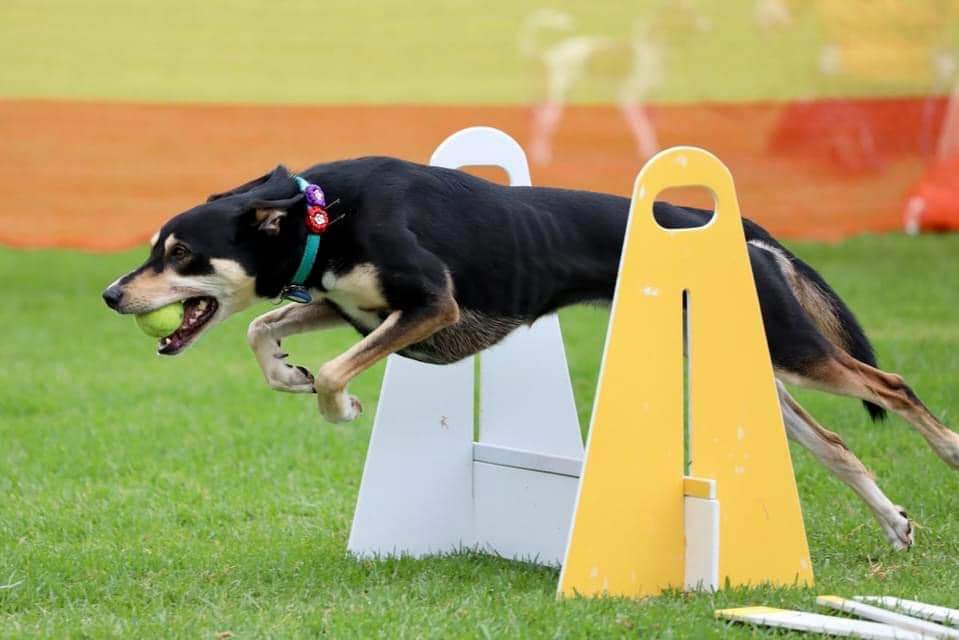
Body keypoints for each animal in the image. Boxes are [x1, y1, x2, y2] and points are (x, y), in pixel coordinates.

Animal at [103, 159, 959, 552]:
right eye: (155, 250)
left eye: (179, 254)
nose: (112, 295)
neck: (326, 217)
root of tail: (738, 230)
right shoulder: (355, 306)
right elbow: (260, 328)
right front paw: (287, 372)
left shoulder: (430, 306)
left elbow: (340, 371)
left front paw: (340, 403)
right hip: (750, 363)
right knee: (839, 441)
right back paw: (893, 523)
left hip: (789, 348)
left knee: (891, 383)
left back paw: (950, 450)